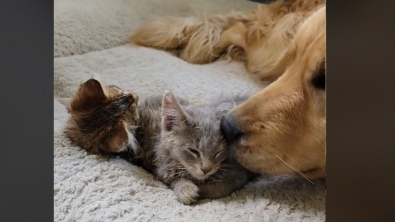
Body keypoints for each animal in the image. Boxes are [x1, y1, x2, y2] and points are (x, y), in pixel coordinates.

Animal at [64, 77, 256, 205]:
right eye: (193, 151)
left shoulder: (238, 174)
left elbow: (220, 187)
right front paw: (187, 189)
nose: (206, 169)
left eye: (218, 153)